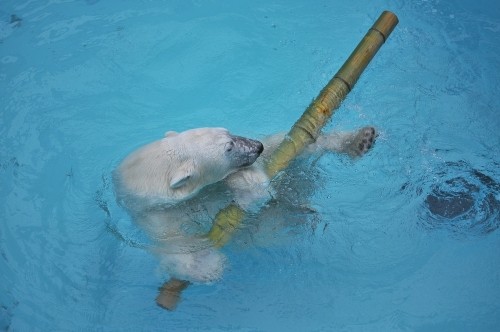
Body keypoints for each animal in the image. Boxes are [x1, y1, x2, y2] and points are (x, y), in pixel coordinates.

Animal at [114, 126, 376, 284]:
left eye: (227, 131)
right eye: (228, 148)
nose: (256, 146)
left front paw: (245, 181)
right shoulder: (157, 215)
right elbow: (175, 244)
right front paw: (207, 265)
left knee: (290, 141)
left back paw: (358, 140)